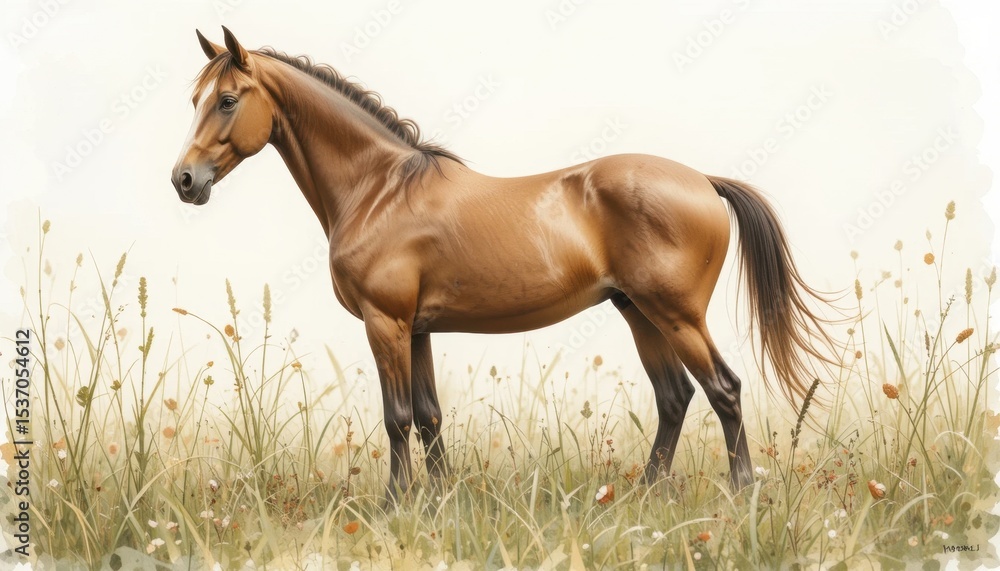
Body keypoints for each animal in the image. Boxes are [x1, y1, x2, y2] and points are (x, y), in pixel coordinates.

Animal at [171, 27, 832, 500]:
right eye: (195, 99)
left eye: (227, 100)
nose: (184, 180)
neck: (380, 190)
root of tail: (703, 181)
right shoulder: (417, 329)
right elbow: (430, 417)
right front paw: (439, 503)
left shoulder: (385, 323)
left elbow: (396, 417)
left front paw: (394, 505)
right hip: (638, 312)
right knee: (674, 398)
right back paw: (643, 495)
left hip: (676, 315)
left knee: (724, 389)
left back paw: (740, 494)